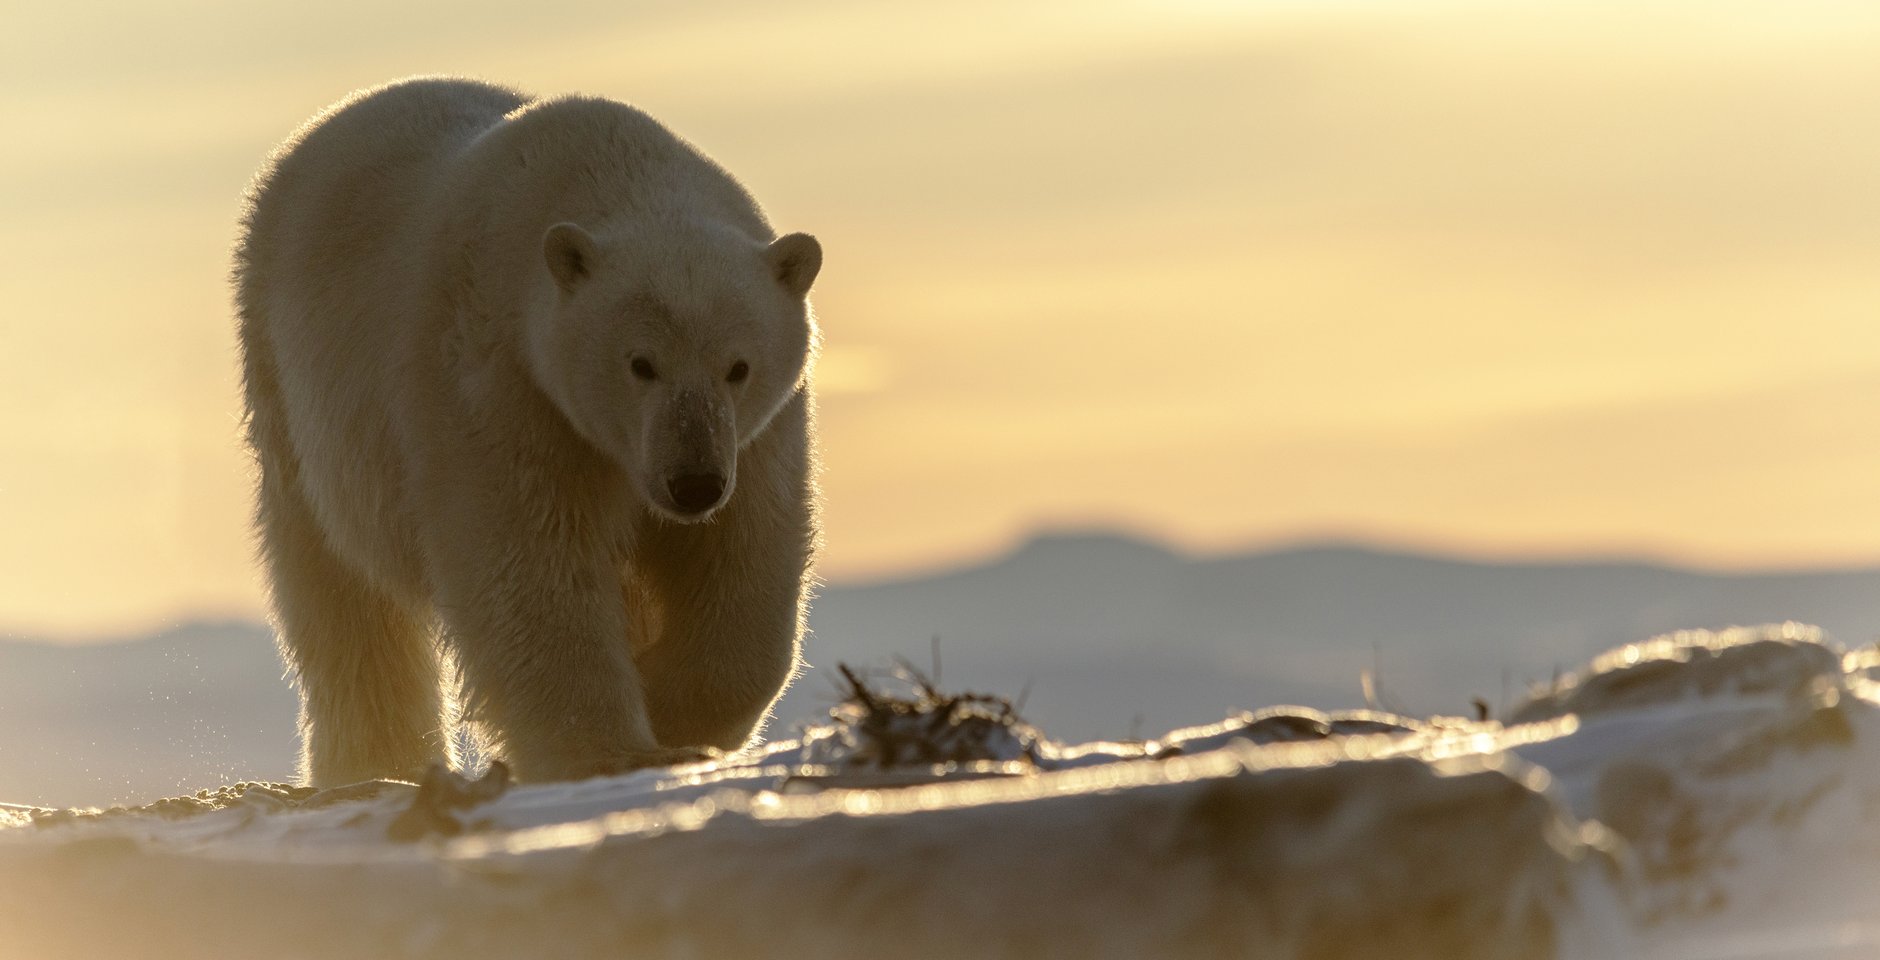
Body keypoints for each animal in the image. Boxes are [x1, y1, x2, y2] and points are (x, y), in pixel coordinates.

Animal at [231, 80, 819, 789]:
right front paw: (608, 750)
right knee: (341, 593)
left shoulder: (756, 439)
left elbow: (744, 554)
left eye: (738, 367)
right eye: (640, 363)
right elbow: (527, 559)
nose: (694, 483)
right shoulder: (498, 384)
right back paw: (373, 764)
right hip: (293, 389)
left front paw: (678, 715)